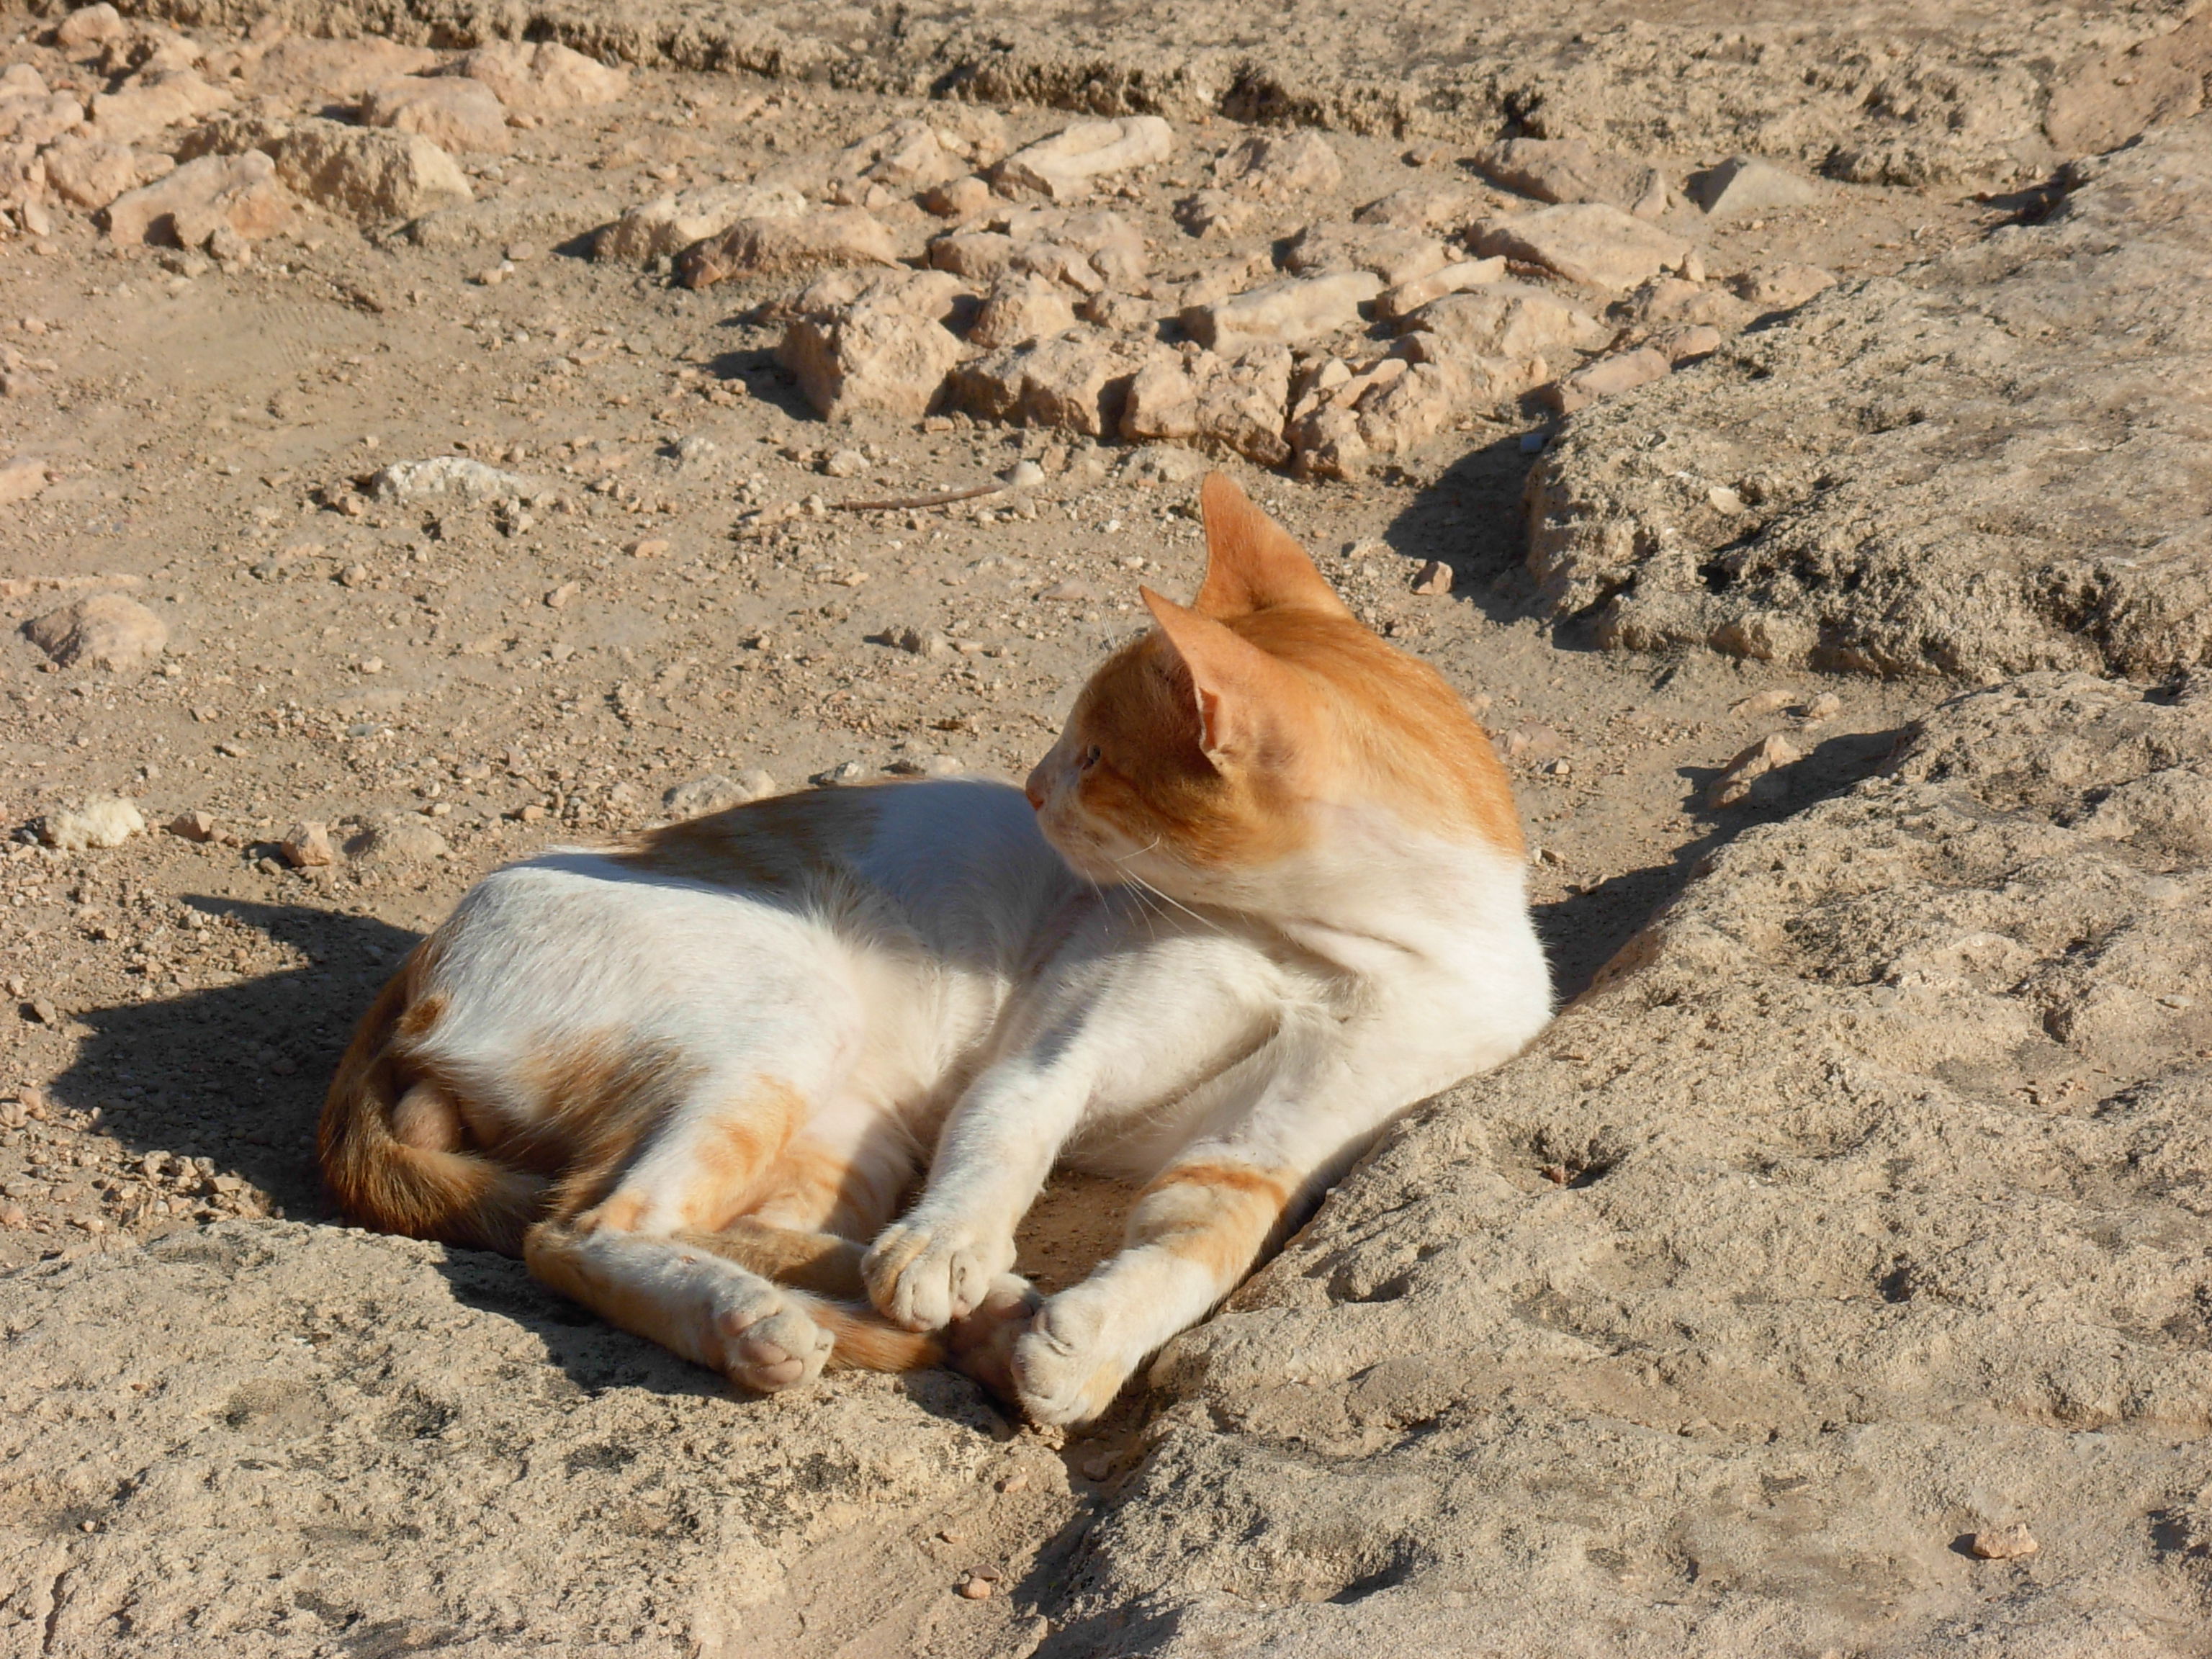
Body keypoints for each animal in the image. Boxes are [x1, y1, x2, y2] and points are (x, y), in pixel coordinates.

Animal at [319, 472, 1551, 1425]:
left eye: (1095, 756)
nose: (1033, 785)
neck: (1338, 944)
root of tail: (413, 978)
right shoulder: (1050, 1056)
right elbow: (1005, 1139)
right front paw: (952, 1248)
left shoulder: (1262, 1153)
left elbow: (1200, 1254)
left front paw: (1088, 1348)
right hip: (786, 1030)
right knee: (581, 1229)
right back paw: (778, 1319)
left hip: (849, 1128)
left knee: (729, 1227)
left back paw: (975, 1312)